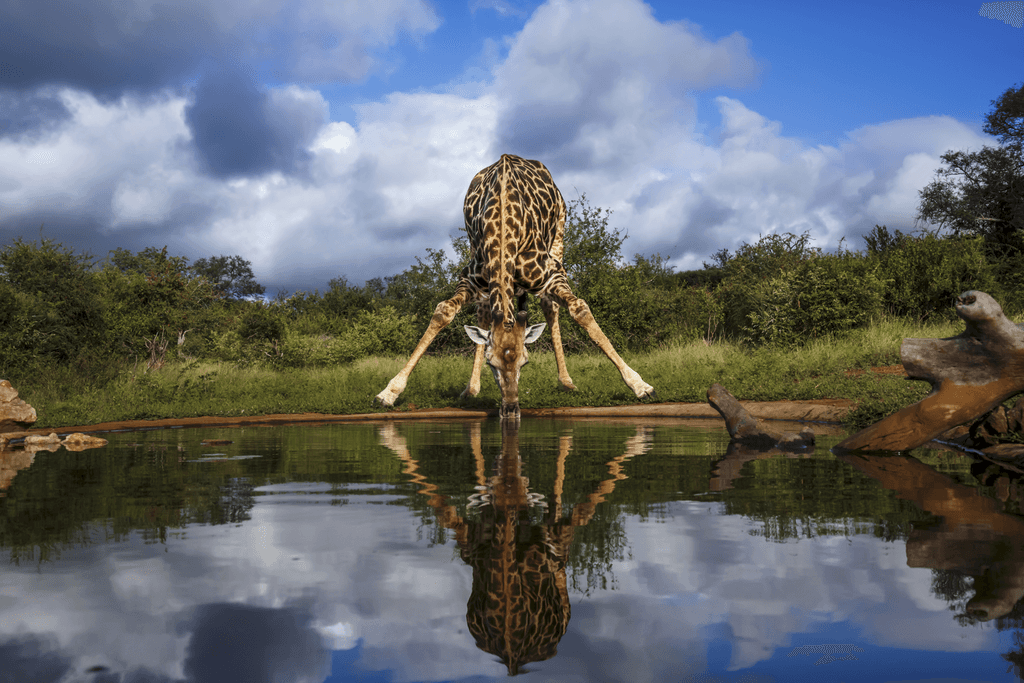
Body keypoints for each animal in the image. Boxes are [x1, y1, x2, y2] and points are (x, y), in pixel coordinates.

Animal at [374, 154, 655, 420]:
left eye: (525, 362)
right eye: (492, 363)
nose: (510, 410)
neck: (503, 226)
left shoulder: (551, 274)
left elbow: (580, 310)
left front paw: (640, 385)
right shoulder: (470, 278)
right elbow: (443, 312)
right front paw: (389, 392)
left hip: (560, 232)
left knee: (550, 306)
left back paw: (566, 382)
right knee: (484, 312)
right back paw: (471, 388)